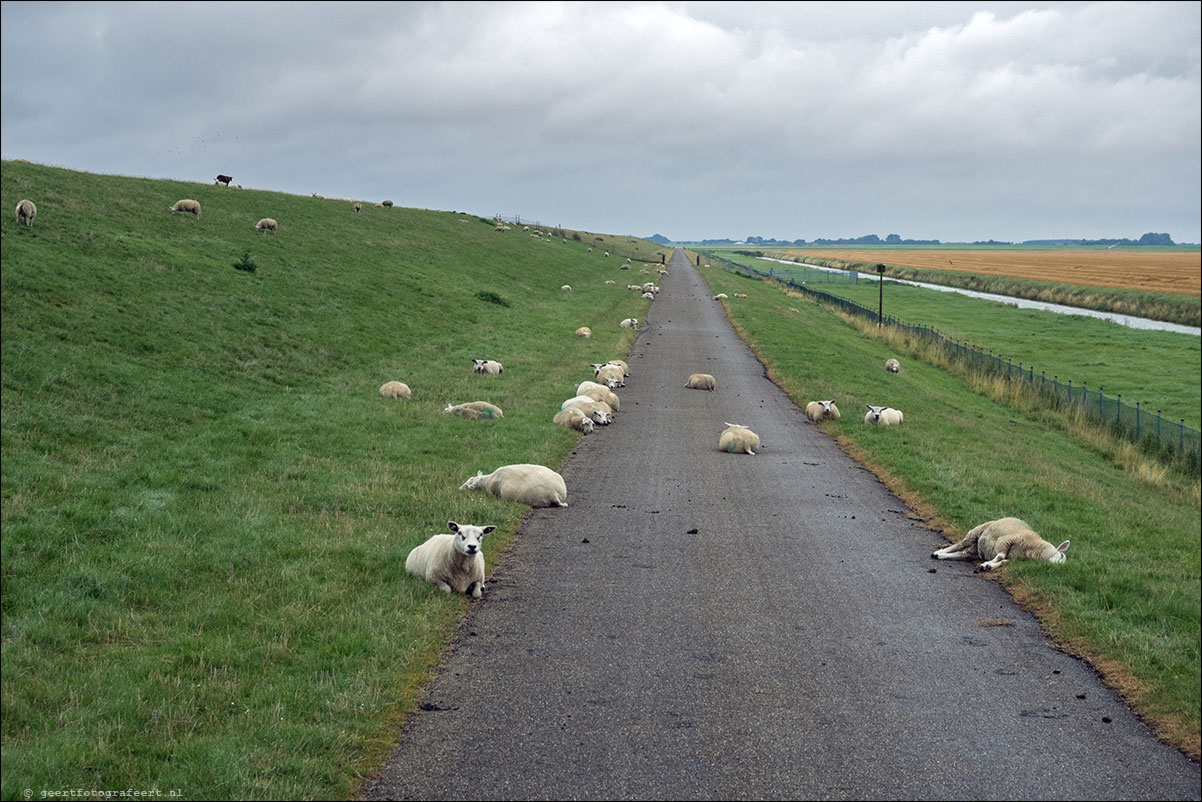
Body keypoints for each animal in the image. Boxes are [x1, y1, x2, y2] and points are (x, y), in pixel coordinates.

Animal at [927, 521, 1072, 569]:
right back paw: (938, 552)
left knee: (961, 553)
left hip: (974, 551)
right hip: (977, 531)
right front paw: (987, 564)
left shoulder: (1015, 559)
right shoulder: (1005, 540)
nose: (1057, 567)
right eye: (1061, 556)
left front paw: (989, 566)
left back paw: (941, 556)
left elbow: (1003, 561)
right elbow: (1000, 556)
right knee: (959, 544)